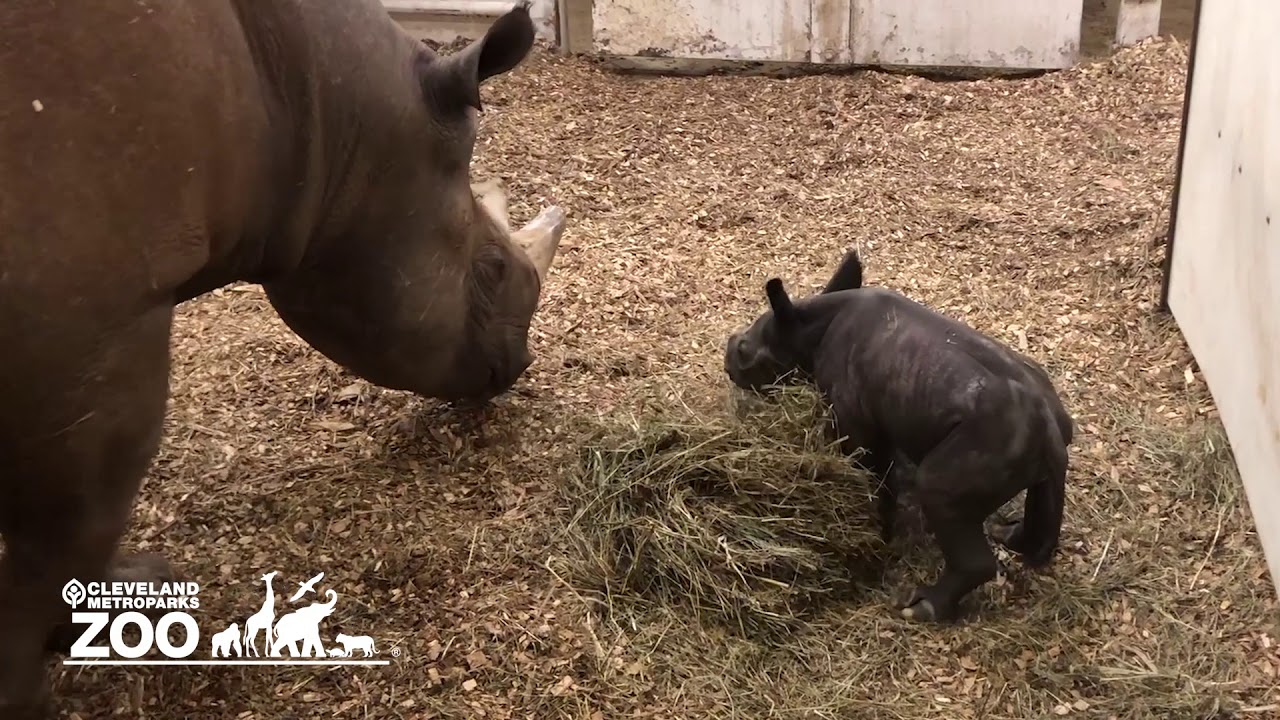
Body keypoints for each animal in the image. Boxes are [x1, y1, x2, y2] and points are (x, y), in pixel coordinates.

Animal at [0, 0, 563, 714]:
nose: (518, 365)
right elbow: (73, 521)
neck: (316, 116)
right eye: (492, 270)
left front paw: (129, 592)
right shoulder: (92, 323)